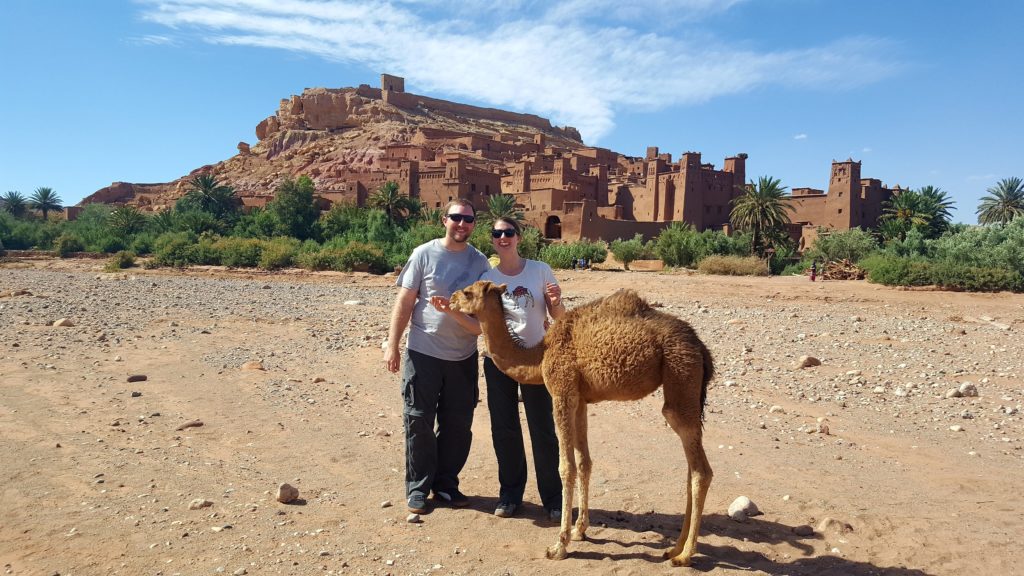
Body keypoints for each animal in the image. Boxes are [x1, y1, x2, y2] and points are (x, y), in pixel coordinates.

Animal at [452, 280, 716, 561]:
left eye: (468, 292)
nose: (451, 299)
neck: (539, 356)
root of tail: (701, 348)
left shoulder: (562, 391)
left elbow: (566, 467)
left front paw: (559, 545)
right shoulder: (580, 400)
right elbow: (584, 462)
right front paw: (580, 530)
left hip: (681, 374)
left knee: (700, 469)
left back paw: (685, 555)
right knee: (691, 468)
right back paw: (675, 547)